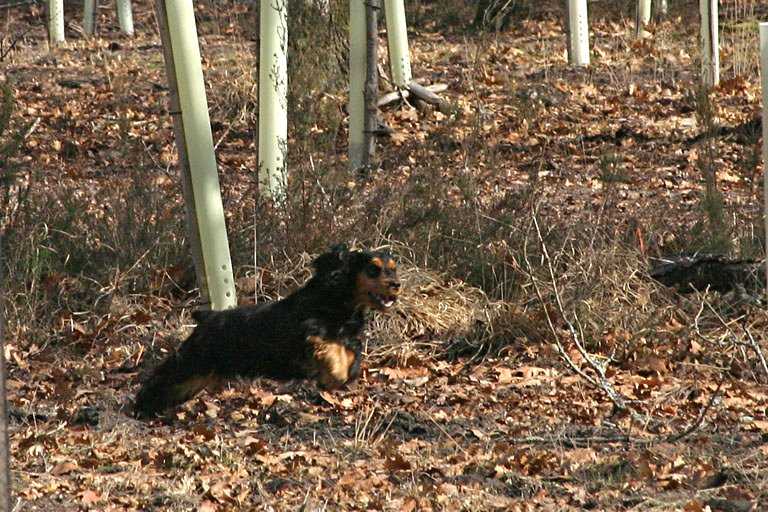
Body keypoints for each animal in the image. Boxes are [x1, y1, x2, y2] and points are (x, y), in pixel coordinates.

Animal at [134, 245, 402, 420]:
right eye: (373, 269)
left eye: (393, 269)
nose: (396, 284)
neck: (338, 300)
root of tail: (208, 317)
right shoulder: (309, 334)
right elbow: (330, 347)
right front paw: (335, 371)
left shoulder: (349, 337)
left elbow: (353, 352)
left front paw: (339, 375)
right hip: (191, 363)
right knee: (160, 381)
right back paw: (138, 409)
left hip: (197, 377)